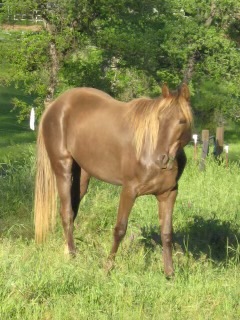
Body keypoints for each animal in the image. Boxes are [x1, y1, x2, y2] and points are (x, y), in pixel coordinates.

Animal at [33, 84, 192, 276]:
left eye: (182, 121)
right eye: (159, 119)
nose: (161, 158)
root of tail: (55, 105)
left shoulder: (168, 194)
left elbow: (167, 233)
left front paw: (170, 273)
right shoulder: (129, 190)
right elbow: (120, 229)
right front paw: (107, 268)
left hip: (81, 177)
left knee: (72, 212)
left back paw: (67, 251)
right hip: (62, 168)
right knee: (66, 212)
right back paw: (72, 255)